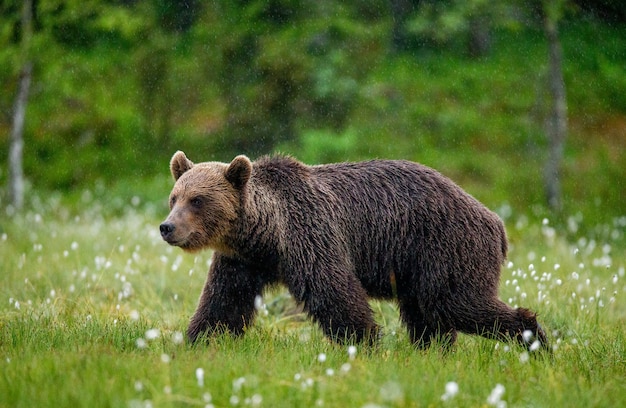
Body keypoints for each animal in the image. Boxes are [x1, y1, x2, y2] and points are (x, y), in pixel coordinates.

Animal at [161, 151, 544, 350]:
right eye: (174, 197)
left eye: (198, 200)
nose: (167, 227)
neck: (266, 234)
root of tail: (496, 221)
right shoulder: (243, 261)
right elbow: (223, 302)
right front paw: (198, 340)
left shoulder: (310, 233)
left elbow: (334, 292)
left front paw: (364, 341)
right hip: (419, 265)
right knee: (427, 314)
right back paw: (432, 350)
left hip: (446, 245)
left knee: (458, 301)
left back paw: (535, 340)